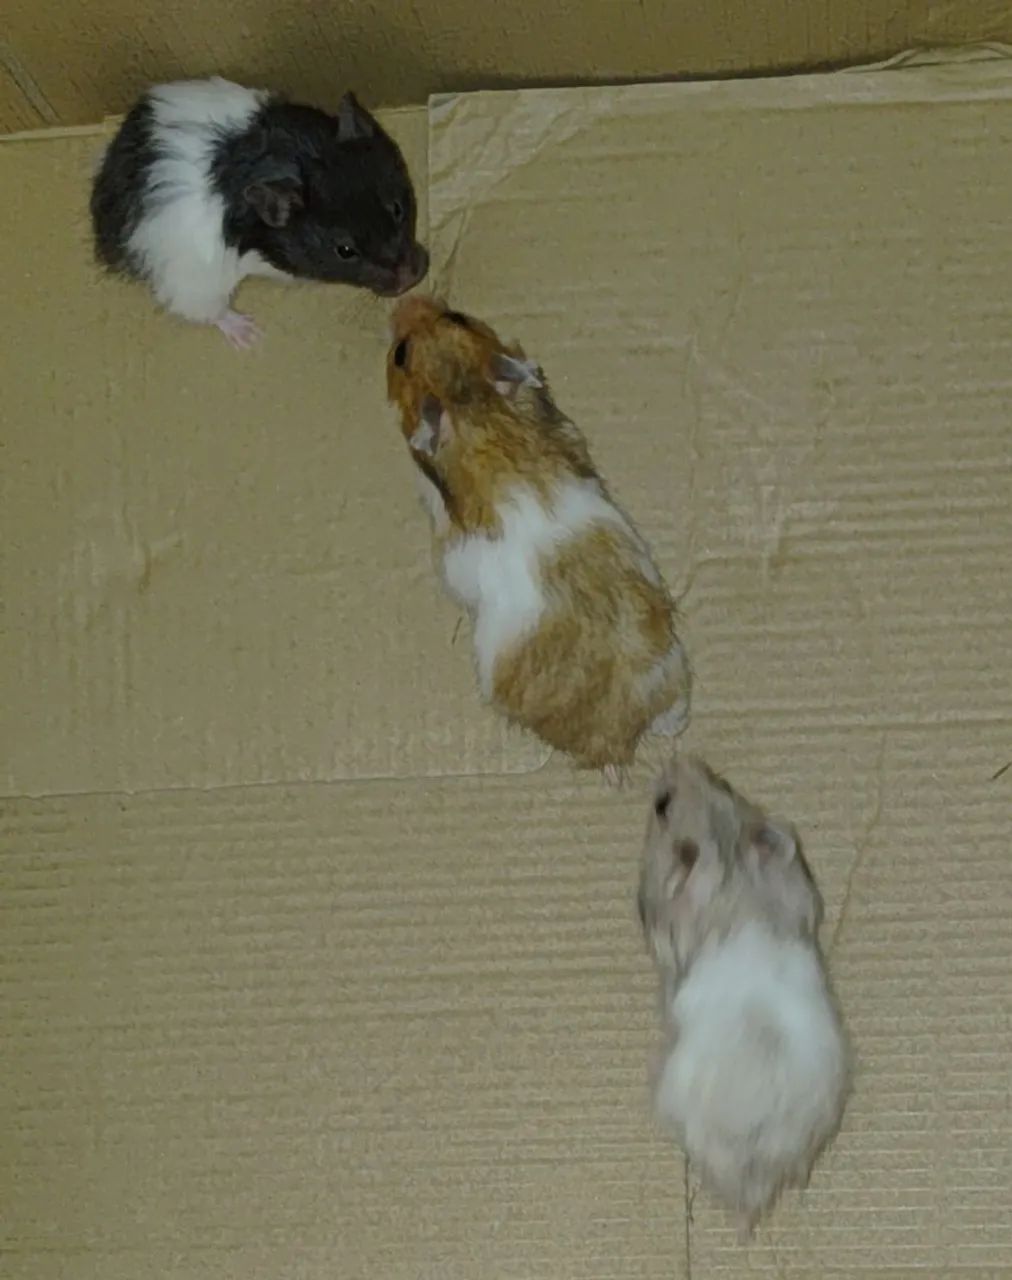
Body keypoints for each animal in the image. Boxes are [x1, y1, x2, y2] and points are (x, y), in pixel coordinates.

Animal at [91, 76, 429, 347]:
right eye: (345, 251)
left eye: (397, 209)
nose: (412, 278)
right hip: (192, 285)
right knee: (208, 311)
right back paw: (247, 334)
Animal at [386, 294, 691, 780]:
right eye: (459, 316)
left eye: (399, 355)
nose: (403, 301)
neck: (475, 409)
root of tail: (618, 739)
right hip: (674, 673)